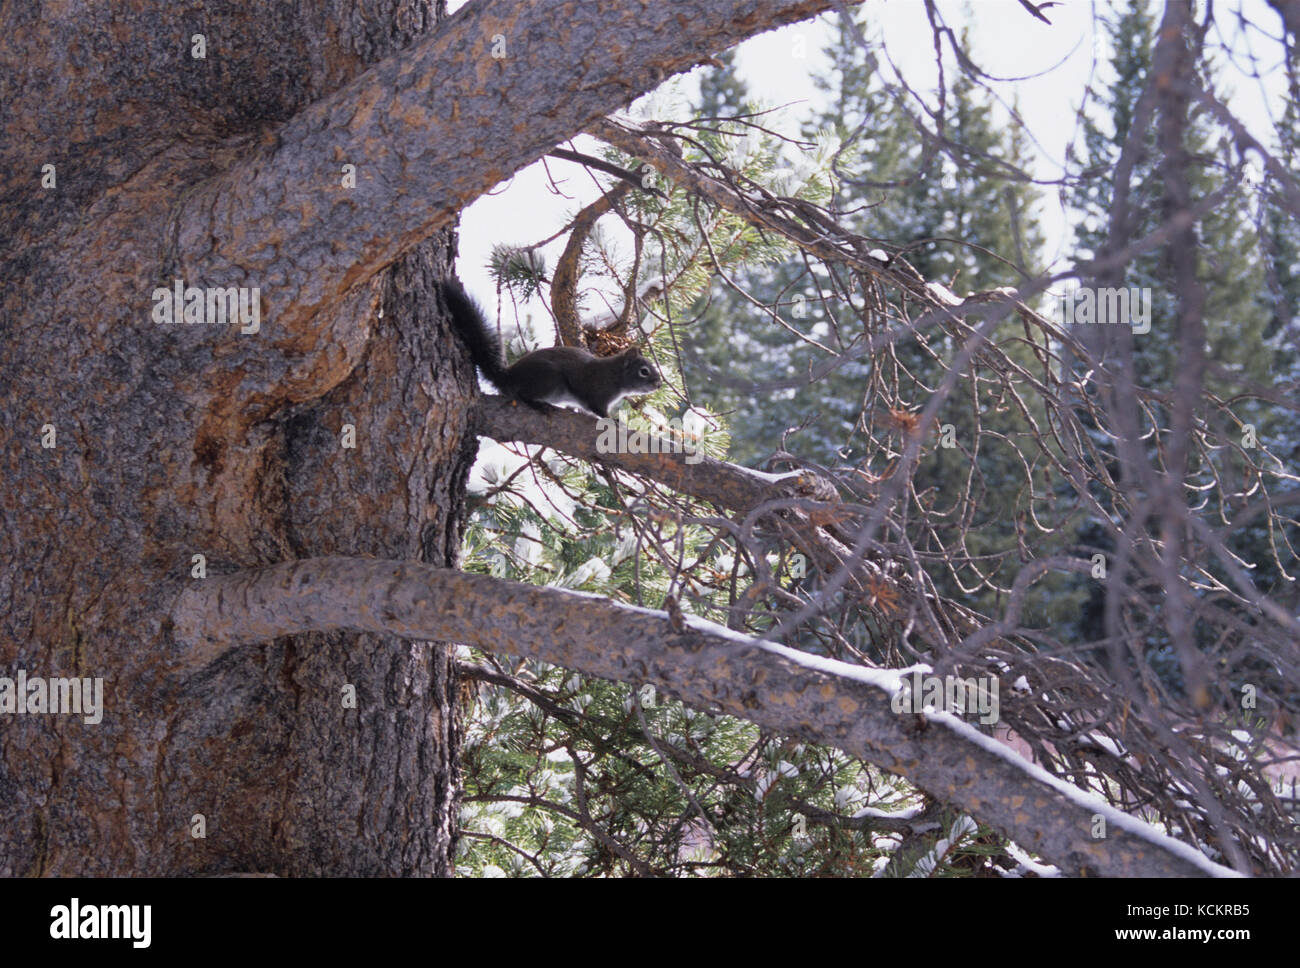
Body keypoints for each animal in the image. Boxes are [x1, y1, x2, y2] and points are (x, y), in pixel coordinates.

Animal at [439, 275, 660, 418]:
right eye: (644, 371)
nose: (658, 385)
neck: (614, 375)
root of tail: (508, 376)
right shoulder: (596, 393)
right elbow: (597, 410)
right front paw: (613, 421)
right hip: (549, 379)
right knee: (522, 395)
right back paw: (538, 405)